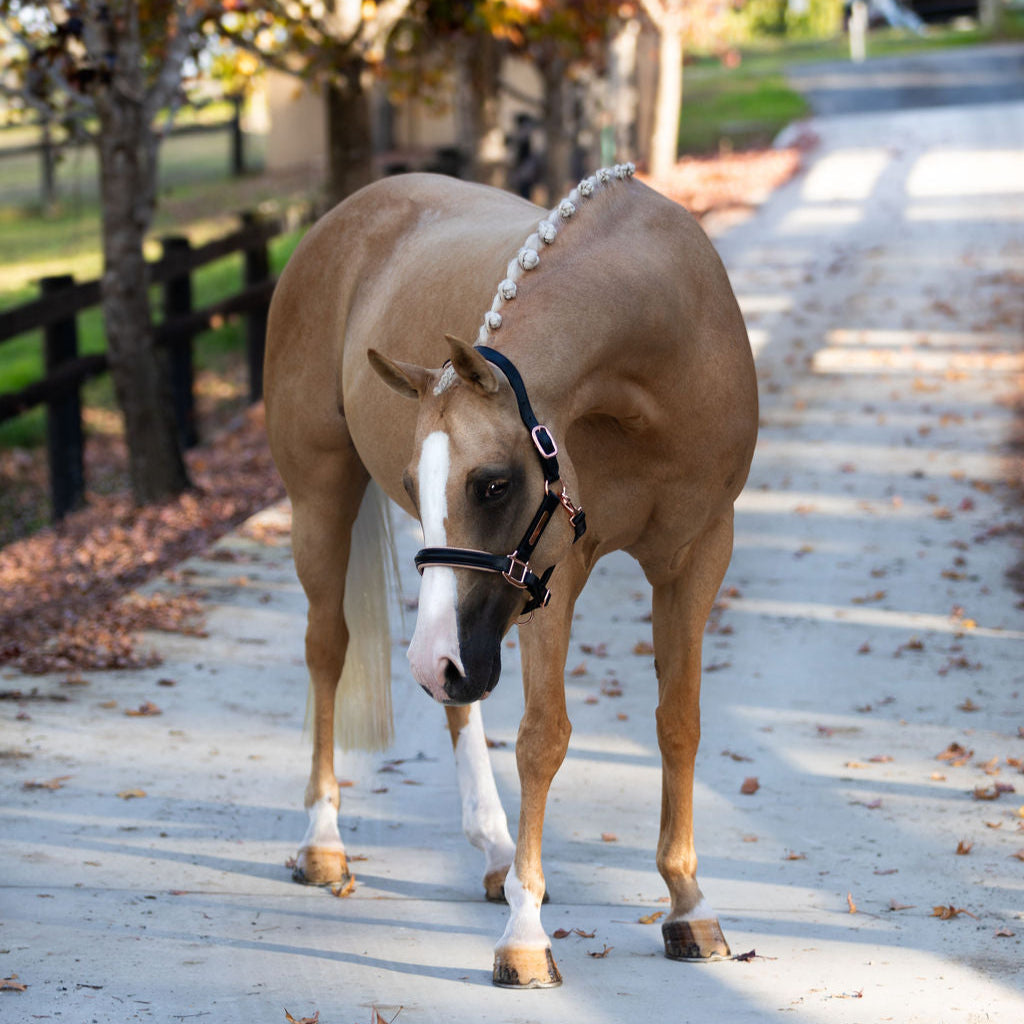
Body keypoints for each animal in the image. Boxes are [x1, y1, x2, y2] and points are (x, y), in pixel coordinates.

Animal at [262, 163, 761, 987]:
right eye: (417, 480)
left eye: (492, 485)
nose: (436, 660)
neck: (664, 349)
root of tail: (346, 215)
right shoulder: (557, 569)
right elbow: (543, 737)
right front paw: (526, 939)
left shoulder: (698, 556)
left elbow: (678, 722)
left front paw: (688, 905)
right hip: (323, 501)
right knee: (328, 650)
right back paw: (323, 842)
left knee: (454, 699)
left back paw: (495, 850)